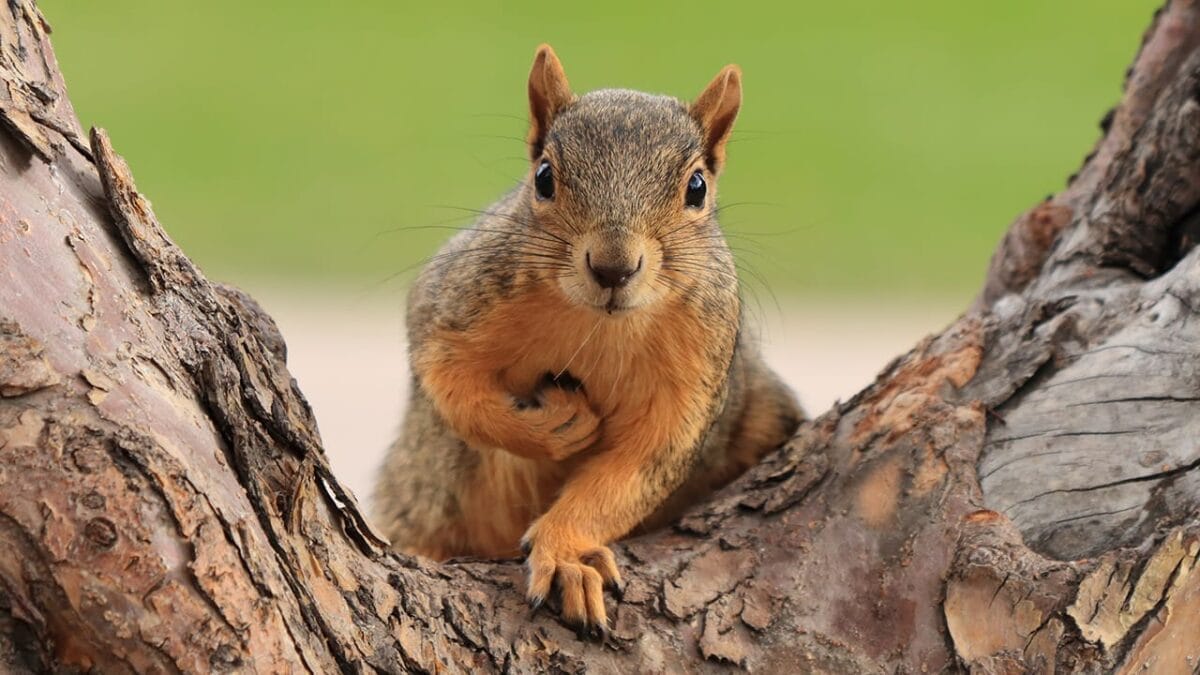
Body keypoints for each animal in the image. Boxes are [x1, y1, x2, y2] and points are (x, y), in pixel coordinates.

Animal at [372, 44, 802, 635]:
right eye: (543, 178)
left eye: (697, 188)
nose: (613, 268)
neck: (599, 326)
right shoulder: (454, 302)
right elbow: (450, 386)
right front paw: (552, 427)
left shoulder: (696, 375)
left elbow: (633, 472)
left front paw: (566, 554)